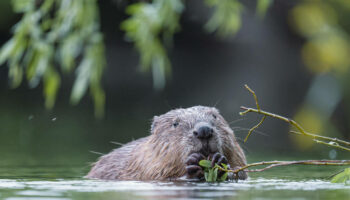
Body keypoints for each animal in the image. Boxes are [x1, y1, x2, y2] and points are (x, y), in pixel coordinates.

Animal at [86, 106, 247, 181]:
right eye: (175, 123)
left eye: (214, 116)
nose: (203, 130)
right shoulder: (145, 166)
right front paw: (193, 164)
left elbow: (241, 171)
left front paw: (219, 161)